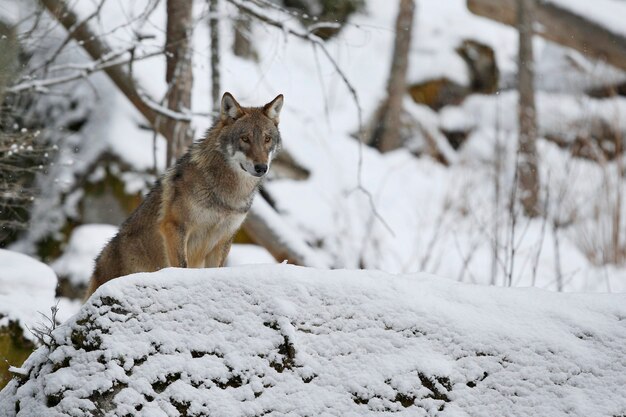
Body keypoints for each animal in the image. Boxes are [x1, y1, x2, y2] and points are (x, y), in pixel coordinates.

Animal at [84, 92, 284, 298]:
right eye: (245, 138)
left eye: (267, 139)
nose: (261, 167)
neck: (227, 195)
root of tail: (96, 268)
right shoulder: (175, 226)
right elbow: (181, 266)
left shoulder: (223, 240)